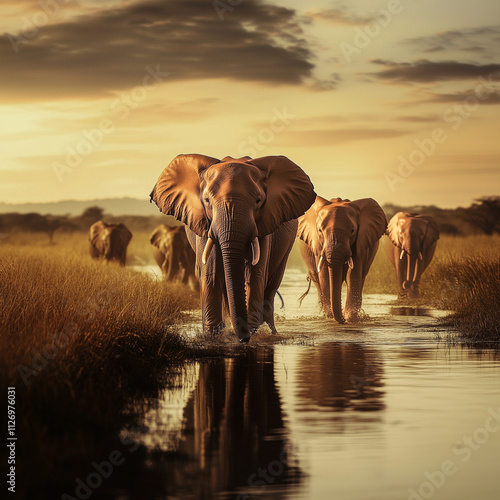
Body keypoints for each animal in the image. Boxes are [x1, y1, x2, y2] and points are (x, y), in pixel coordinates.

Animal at [148, 154, 314, 342]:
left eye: (258, 201)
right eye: (207, 200)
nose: (243, 339)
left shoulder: (265, 224)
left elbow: (256, 274)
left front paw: (254, 332)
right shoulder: (204, 225)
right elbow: (211, 271)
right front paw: (213, 334)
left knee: (271, 284)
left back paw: (272, 332)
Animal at [296, 195, 386, 324]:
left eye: (353, 231)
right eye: (320, 231)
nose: (342, 319)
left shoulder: (360, 242)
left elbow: (352, 274)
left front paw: (351, 318)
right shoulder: (317, 245)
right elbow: (324, 274)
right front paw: (330, 316)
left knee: (362, 276)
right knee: (317, 279)